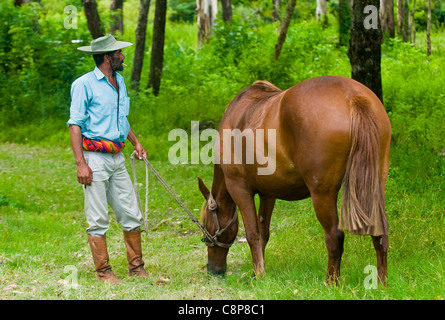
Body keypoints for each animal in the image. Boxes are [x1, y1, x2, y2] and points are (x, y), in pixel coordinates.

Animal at [197, 76, 388, 284]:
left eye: (206, 223)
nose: (213, 269)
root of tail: (353, 95)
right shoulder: (268, 193)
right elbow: (263, 232)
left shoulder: (238, 187)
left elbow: (252, 233)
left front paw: (258, 274)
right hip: (375, 186)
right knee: (380, 233)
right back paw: (382, 282)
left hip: (322, 194)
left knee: (334, 236)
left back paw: (331, 283)